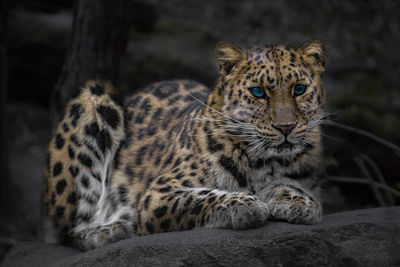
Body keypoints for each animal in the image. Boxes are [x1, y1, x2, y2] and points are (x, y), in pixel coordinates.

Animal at [41, 37, 328, 251]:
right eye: (258, 92)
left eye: (299, 89)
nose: (286, 127)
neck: (264, 161)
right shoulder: (158, 195)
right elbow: (199, 197)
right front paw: (242, 204)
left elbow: (288, 185)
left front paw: (298, 201)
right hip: (95, 100)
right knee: (69, 226)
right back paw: (109, 230)